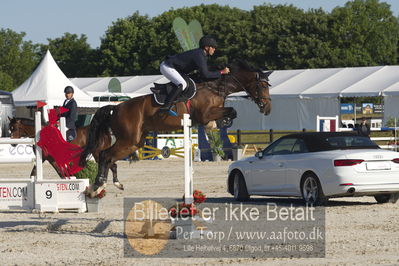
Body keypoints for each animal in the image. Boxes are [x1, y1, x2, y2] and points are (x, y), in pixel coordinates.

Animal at [79, 60, 274, 197]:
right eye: (263, 85)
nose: (267, 108)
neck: (215, 87)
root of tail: (116, 108)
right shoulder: (205, 114)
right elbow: (231, 111)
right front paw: (219, 123)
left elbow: (230, 112)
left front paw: (219, 124)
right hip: (128, 140)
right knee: (105, 155)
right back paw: (97, 186)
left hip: (135, 142)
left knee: (108, 157)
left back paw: (111, 184)